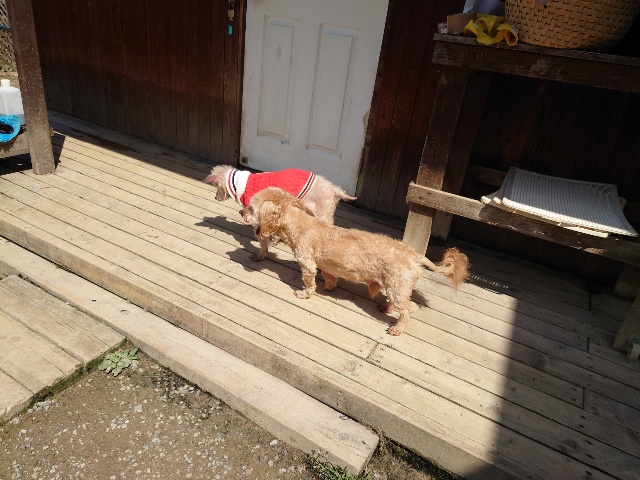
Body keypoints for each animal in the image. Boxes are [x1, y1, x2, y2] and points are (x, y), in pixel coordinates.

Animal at [203, 164, 356, 259]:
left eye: (215, 185)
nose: (215, 197)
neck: (239, 185)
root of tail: (335, 190)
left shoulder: (256, 214)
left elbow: (262, 238)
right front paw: (273, 241)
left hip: (321, 212)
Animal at [240, 187, 469, 336]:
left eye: (251, 207)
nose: (241, 211)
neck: (299, 224)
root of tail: (416, 255)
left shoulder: (307, 264)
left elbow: (309, 282)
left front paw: (304, 293)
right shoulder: (325, 264)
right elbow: (330, 276)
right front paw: (329, 287)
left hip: (397, 287)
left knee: (408, 309)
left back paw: (396, 328)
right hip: (394, 287)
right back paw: (386, 309)